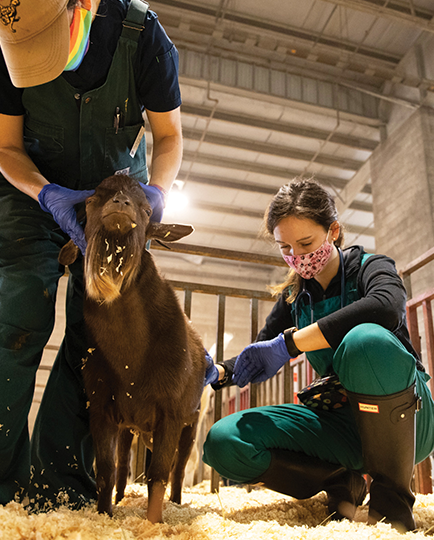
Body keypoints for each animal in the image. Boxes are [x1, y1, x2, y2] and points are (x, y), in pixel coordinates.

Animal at [59, 175, 207, 520]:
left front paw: (154, 522)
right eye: (91, 201)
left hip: (192, 422)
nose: (120, 204)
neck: (129, 359)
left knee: (180, 468)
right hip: (130, 426)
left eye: (147, 208)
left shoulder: (171, 411)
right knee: (125, 462)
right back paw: (121, 497)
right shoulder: (101, 407)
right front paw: (104, 513)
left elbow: (159, 474)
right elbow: (106, 470)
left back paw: (177, 501)